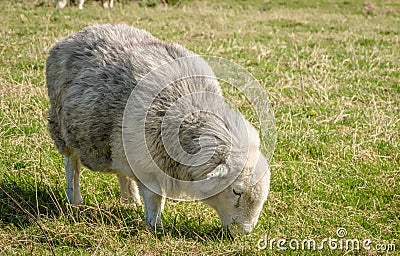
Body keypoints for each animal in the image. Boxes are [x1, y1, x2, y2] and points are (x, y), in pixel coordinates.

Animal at [47, 24, 272, 234]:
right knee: (72, 164)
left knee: (121, 170)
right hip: (61, 125)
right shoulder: (148, 166)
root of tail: (81, 32)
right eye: (236, 191)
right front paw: (155, 226)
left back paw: (130, 201)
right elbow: (155, 197)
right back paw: (74, 199)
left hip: (119, 143)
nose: (245, 232)